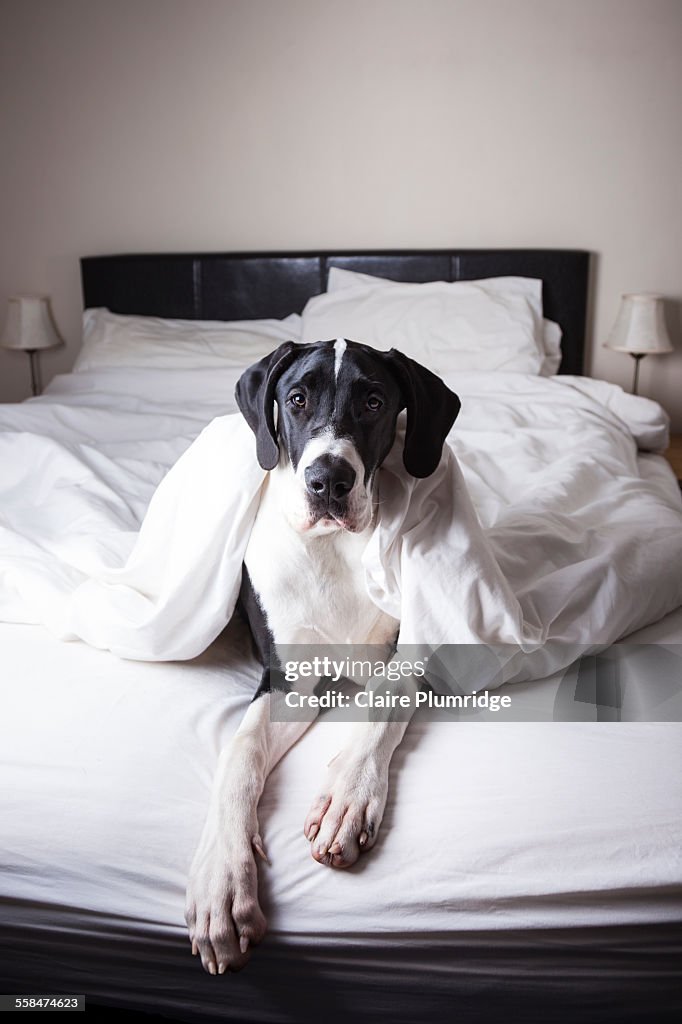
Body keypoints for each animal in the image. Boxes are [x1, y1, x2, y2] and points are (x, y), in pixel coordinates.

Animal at [183, 337, 458, 974]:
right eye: (297, 398)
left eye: (375, 401)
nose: (328, 480)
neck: (331, 551)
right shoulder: (287, 683)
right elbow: (240, 753)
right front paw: (221, 882)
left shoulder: (406, 661)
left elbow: (383, 704)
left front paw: (347, 798)